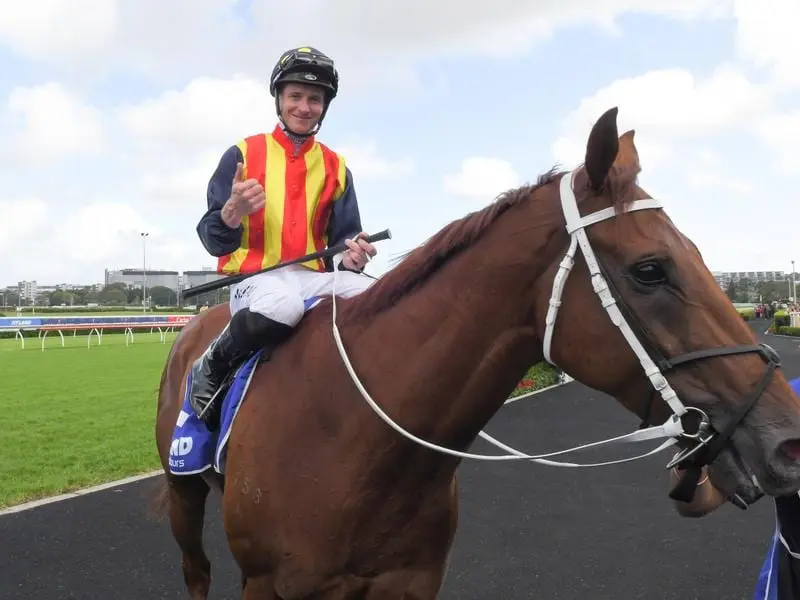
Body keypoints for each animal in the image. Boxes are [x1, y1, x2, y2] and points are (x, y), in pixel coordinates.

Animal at [153, 109, 800, 600]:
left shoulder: (408, 582)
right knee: (195, 569)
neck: (353, 436)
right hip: (186, 496)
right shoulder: (270, 584)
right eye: (650, 269)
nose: (788, 442)